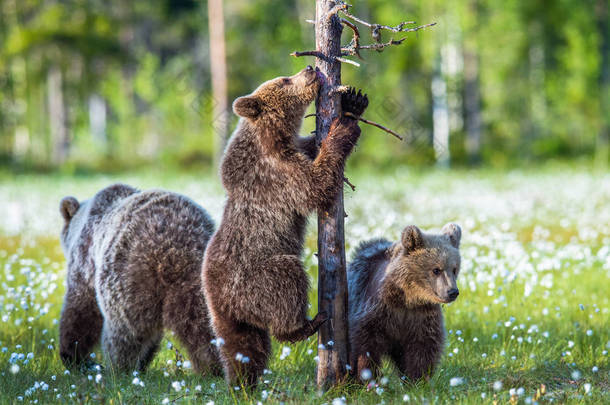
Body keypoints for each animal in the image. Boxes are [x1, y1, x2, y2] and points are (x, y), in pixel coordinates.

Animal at [57, 183, 221, 372]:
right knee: (203, 325)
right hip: (200, 281)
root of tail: (175, 248)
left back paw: (118, 368)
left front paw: (72, 355)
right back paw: (214, 366)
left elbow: (80, 308)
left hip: (127, 277)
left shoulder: (86, 261)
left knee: (127, 330)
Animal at [202, 65, 368, 386]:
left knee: (247, 347)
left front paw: (352, 104)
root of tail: (219, 300)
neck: (273, 139)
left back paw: (244, 380)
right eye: (283, 80)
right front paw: (343, 128)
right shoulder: (278, 175)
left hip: (233, 317)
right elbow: (317, 185)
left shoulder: (293, 152)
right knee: (286, 278)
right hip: (254, 277)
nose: (310, 67)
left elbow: (311, 148)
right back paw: (307, 323)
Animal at [346, 224, 460, 382]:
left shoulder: (421, 316)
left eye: (454, 269)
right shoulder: (377, 310)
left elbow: (423, 347)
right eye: (436, 269)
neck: (407, 299)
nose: (452, 291)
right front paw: (366, 376)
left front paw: (417, 379)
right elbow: (366, 344)